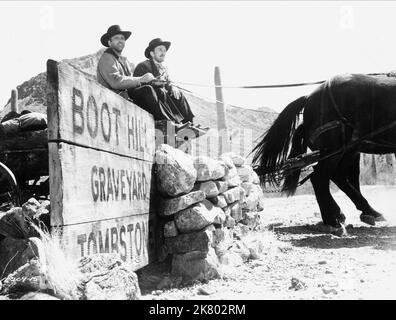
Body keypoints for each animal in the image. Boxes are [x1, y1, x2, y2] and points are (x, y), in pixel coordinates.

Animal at [252, 74, 396, 236]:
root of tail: (309, 98)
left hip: (347, 151)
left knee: (337, 177)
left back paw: (363, 212)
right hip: (336, 150)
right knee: (320, 178)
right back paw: (333, 221)